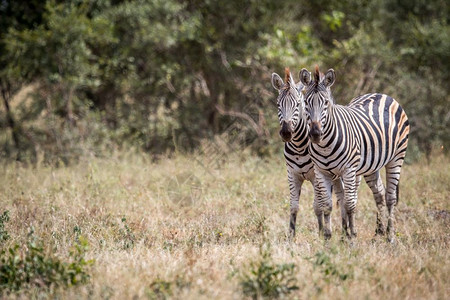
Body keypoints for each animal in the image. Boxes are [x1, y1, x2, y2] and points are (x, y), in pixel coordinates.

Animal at [272, 68, 346, 239]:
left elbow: (318, 206)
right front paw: (291, 236)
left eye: (297, 104)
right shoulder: (292, 175)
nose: (286, 133)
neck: (299, 147)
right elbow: (294, 206)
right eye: (278, 104)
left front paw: (322, 233)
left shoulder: (316, 176)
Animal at [298, 66, 412, 241]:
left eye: (326, 103)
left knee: (390, 197)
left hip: (397, 157)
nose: (315, 134)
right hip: (371, 165)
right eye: (305, 102)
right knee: (379, 193)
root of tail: (381, 94)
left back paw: (390, 236)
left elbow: (349, 204)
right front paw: (327, 238)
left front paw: (351, 238)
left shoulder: (349, 170)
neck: (324, 146)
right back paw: (378, 233)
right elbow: (326, 205)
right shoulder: (321, 171)